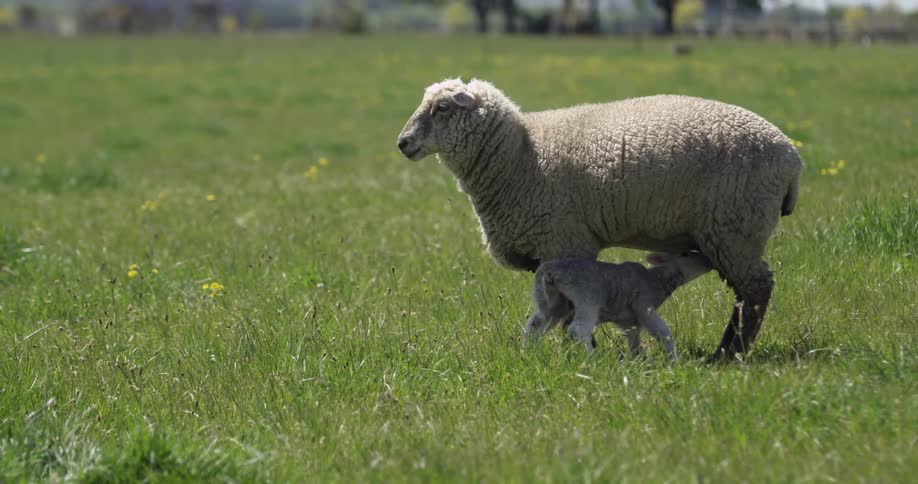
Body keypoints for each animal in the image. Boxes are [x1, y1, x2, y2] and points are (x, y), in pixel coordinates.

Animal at [525, 251, 714, 360]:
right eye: (685, 254)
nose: (708, 260)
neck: (657, 279)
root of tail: (550, 272)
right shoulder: (643, 305)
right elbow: (662, 331)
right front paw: (675, 359)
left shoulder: (628, 321)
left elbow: (634, 339)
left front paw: (638, 360)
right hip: (587, 299)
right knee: (578, 330)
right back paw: (591, 359)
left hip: (551, 300)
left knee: (535, 323)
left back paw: (528, 350)